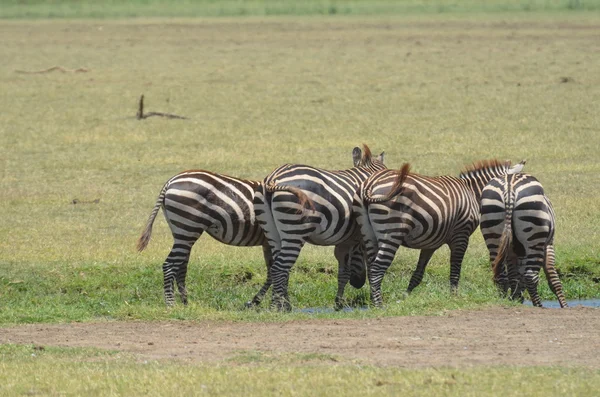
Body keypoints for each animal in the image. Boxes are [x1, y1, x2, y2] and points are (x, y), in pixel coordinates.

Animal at [137, 148, 370, 306]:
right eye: (360, 251)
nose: (358, 284)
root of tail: (170, 182)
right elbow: (274, 272)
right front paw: (263, 301)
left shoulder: (268, 242)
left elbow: (272, 272)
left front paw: (259, 301)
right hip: (188, 227)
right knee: (170, 264)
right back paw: (171, 303)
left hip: (183, 231)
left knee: (181, 265)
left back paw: (185, 302)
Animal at [252, 145, 384, 310]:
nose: (358, 284)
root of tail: (272, 177)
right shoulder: (363, 235)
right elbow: (370, 265)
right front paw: (375, 301)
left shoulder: (345, 240)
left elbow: (343, 271)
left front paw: (339, 304)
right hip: (294, 231)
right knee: (279, 268)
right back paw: (278, 308)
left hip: (273, 233)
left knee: (279, 267)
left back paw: (282, 305)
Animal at [356, 159, 524, 306]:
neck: (472, 192)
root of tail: (371, 183)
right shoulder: (461, 236)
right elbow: (455, 270)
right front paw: (454, 297)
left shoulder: (431, 242)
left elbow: (418, 273)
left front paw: (405, 297)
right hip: (391, 232)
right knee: (377, 269)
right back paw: (379, 305)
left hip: (368, 234)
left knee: (371, 268)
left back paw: (372, 301)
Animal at [478, 172, 568, 306]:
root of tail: (509, 186)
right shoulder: (549, 245)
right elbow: (553, 277)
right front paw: (564, 306)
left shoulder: (511, 251)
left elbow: (514, 277)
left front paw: (515, 298)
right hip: (534, 234)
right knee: (531, 276)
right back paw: (539, 306)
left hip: (493, 231)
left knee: (501, 276)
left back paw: (502, 301)